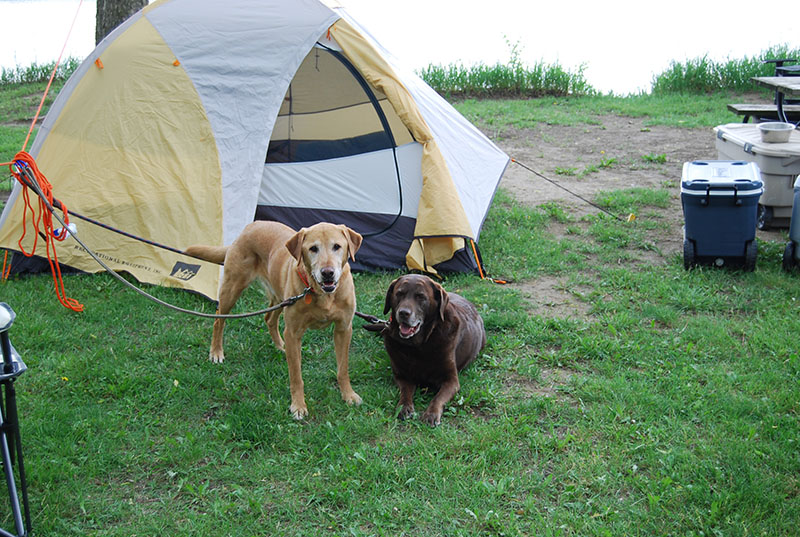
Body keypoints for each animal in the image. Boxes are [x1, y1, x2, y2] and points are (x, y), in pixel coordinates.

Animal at [184, 221, 362, 418]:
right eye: (313, 248)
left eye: (337, 246)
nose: (327, 273)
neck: (322, 294)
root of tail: (250, 226)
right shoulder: (293, 332)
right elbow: (296, 376)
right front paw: (298, 405)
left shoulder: (343, 329)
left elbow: (343, 369)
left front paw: (348, 395)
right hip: (232, 288)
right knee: (218, 320)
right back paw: (216, 352)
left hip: (279, 297)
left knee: (269, 318)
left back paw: (280, 345)